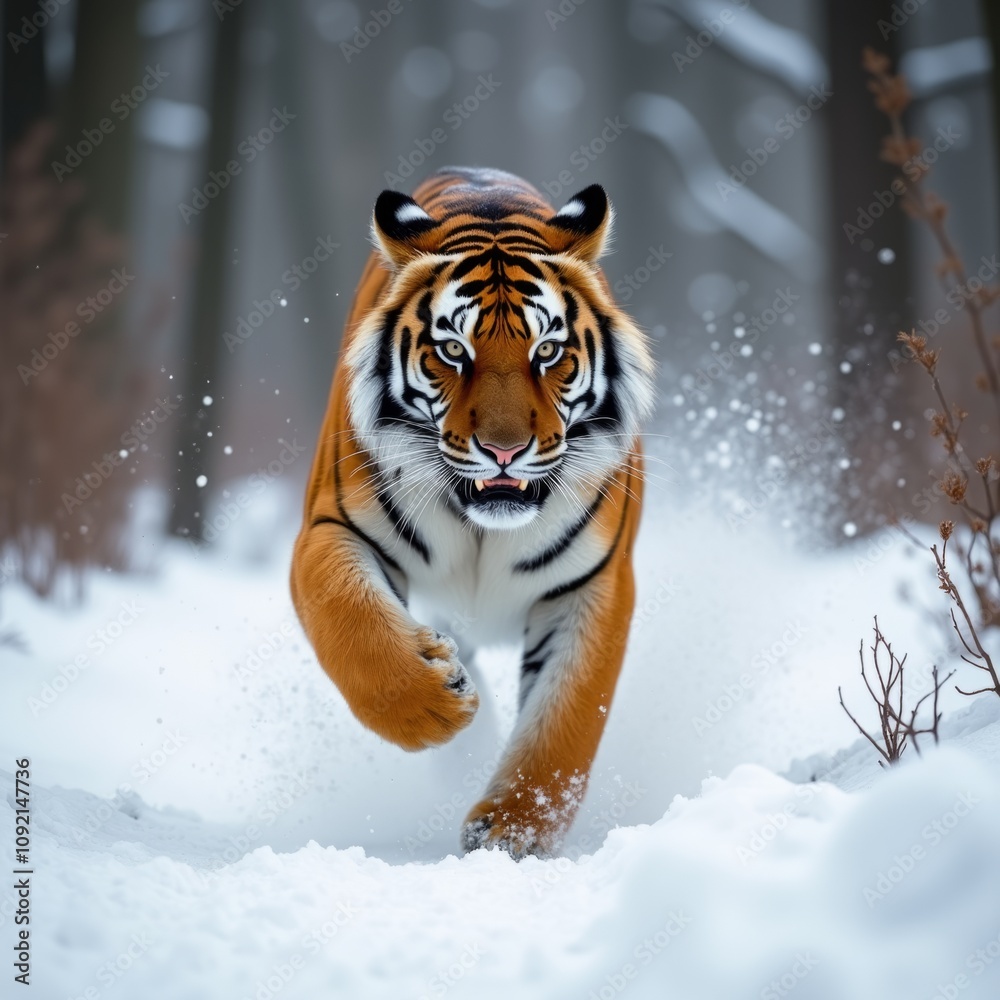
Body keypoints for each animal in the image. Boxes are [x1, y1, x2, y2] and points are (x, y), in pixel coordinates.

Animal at [291, 166, 655, 859]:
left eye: (548, 351)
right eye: (453, 350)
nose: (504, 450)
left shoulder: (594, 581)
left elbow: (566, 719)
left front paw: (513, 832)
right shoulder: (333, 526)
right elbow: (350, 621)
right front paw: (437, 706)